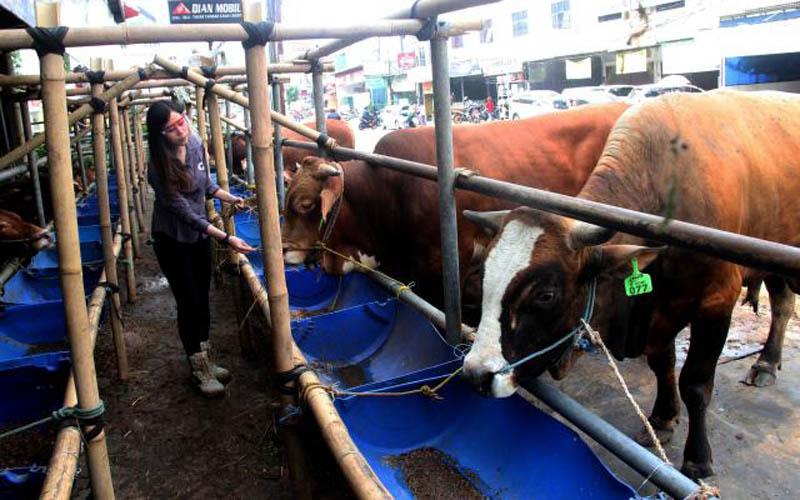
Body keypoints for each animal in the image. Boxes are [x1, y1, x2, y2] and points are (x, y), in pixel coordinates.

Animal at [462, 88, 800, 478]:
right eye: (485, 280)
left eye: (545, 295)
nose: (476, 374)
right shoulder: (659, 311)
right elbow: (663, 364)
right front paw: (663, 418)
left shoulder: (717, 301)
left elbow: (695, 383)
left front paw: (697, 459)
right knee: (784, 303)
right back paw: (768, 362)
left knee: (782, 306)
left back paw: (766, 363)